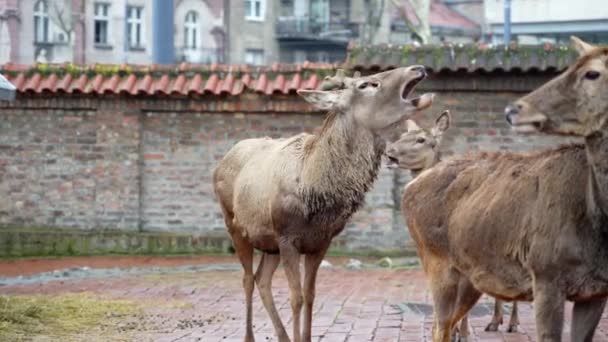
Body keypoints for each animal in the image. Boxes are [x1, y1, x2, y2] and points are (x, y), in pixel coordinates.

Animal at [211, 65, 434, 340]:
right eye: (366, 84)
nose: (418, 68)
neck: (315, 192)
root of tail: (221, 163)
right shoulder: (287, 238)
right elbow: (295, 297)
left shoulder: (320, 242)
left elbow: (310, 296)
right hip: (235, 226)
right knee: (247, 280)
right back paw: (250, 336)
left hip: (268, 242)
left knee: (262, 279)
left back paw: (282, 335)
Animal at [388, 113, 520, 340]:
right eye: (404, 135)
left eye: (422, 139)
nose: (390, 153)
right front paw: (457, 331)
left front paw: (464, 334)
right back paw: (495, 322)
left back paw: (513, 323)